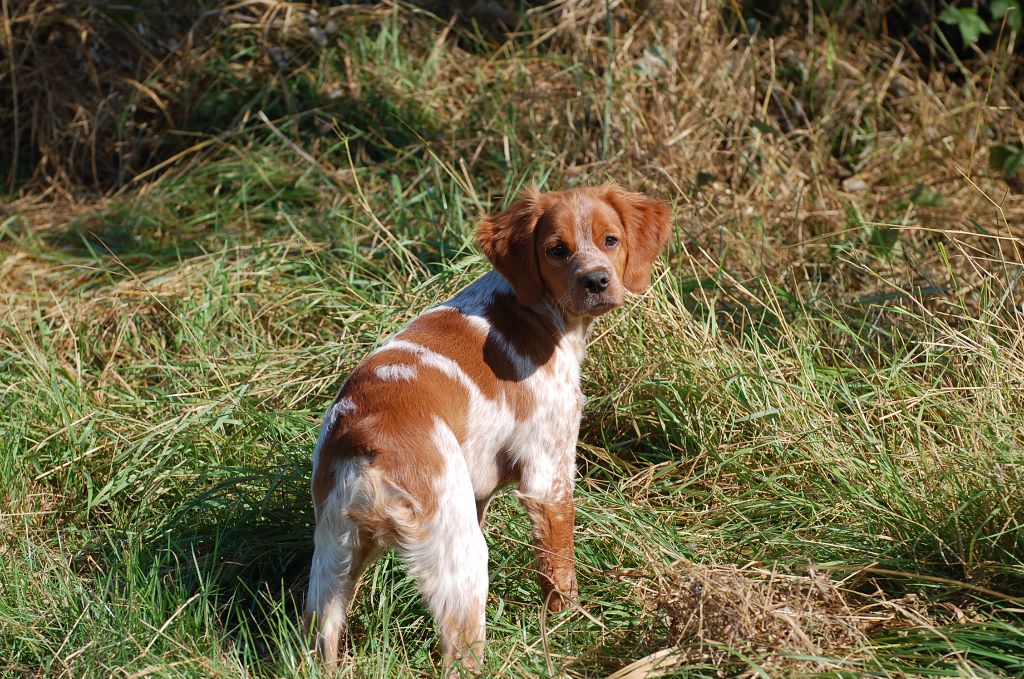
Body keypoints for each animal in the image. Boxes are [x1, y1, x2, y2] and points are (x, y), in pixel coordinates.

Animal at [303, 186, 671, 675]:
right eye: (556, 250)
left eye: (610, 240)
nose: (596, 281)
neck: (535, 309)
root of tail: (368, 438)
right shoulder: (549, 477)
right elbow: (559, 569)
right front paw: (571, 626)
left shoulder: (476, 494)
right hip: (463, 561)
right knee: (461, 655)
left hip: (332, 561)